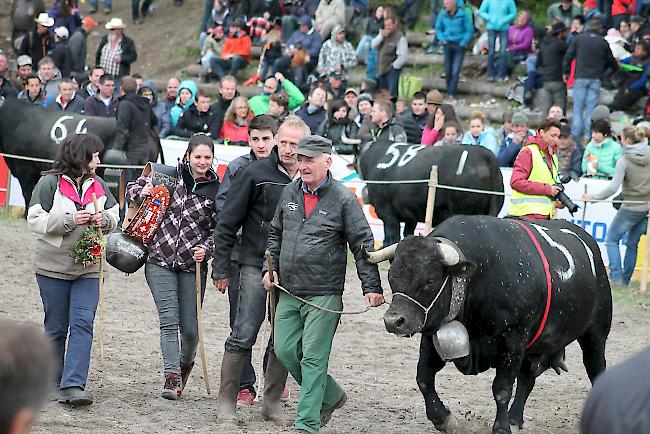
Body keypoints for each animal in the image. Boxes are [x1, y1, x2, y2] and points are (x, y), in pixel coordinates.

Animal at [368, 217, 612, 434]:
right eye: (391, 276)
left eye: (429, 280)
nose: (394, 321)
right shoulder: (432, 335)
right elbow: (424, 378)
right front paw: (444, 419)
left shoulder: (513, 339)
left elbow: (502, 389)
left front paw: (501, 428)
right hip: (535, 344)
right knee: (528, 378)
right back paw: (515, 418)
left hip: (595, 333)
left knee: (595, 368)